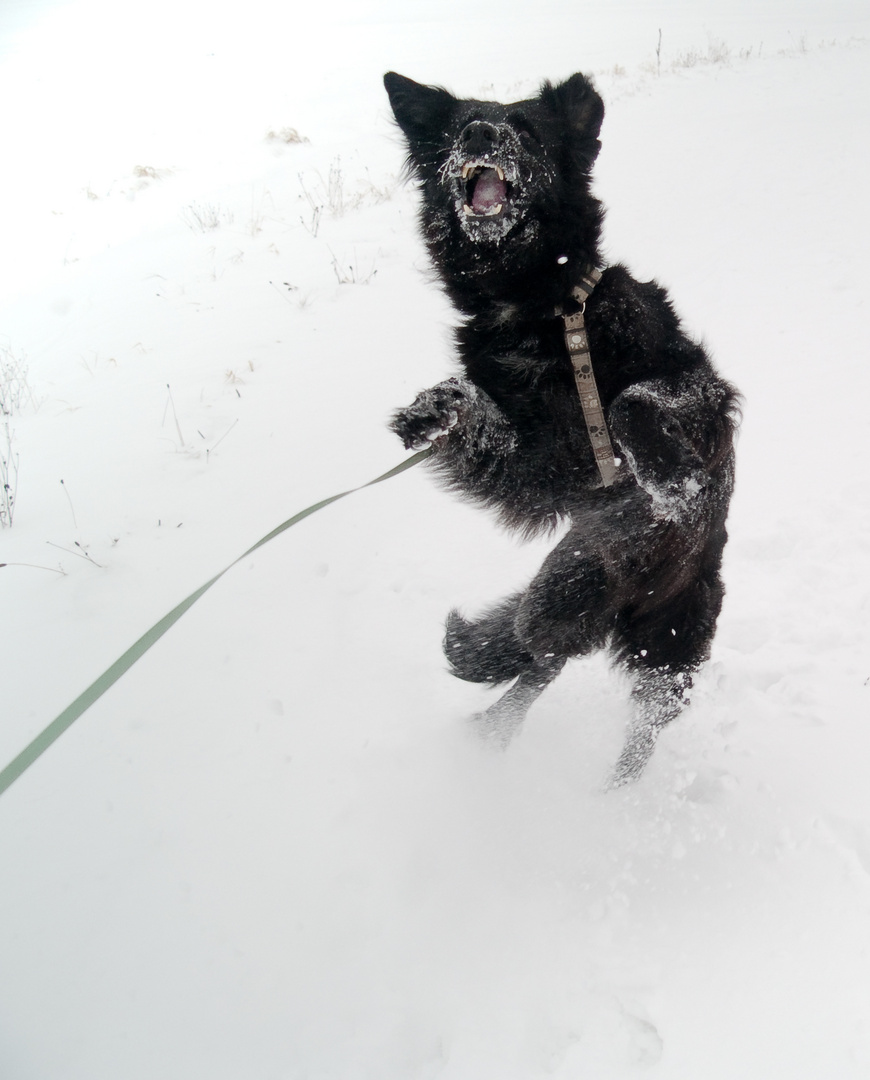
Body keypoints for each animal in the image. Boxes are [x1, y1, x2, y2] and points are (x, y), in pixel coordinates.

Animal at [384, 73, 738, 786]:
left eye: (525, 130)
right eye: (458, 126)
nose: (481, 134)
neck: (536, 308)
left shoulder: (702, 390)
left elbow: (631, 401)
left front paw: (671, 477)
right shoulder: (543, 473)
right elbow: (477, 413)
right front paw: (431, 409)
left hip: (659, 635)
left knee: (625, 717)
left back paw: (608, 799)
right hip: (568, 588)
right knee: (540, 658)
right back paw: (490, 730)